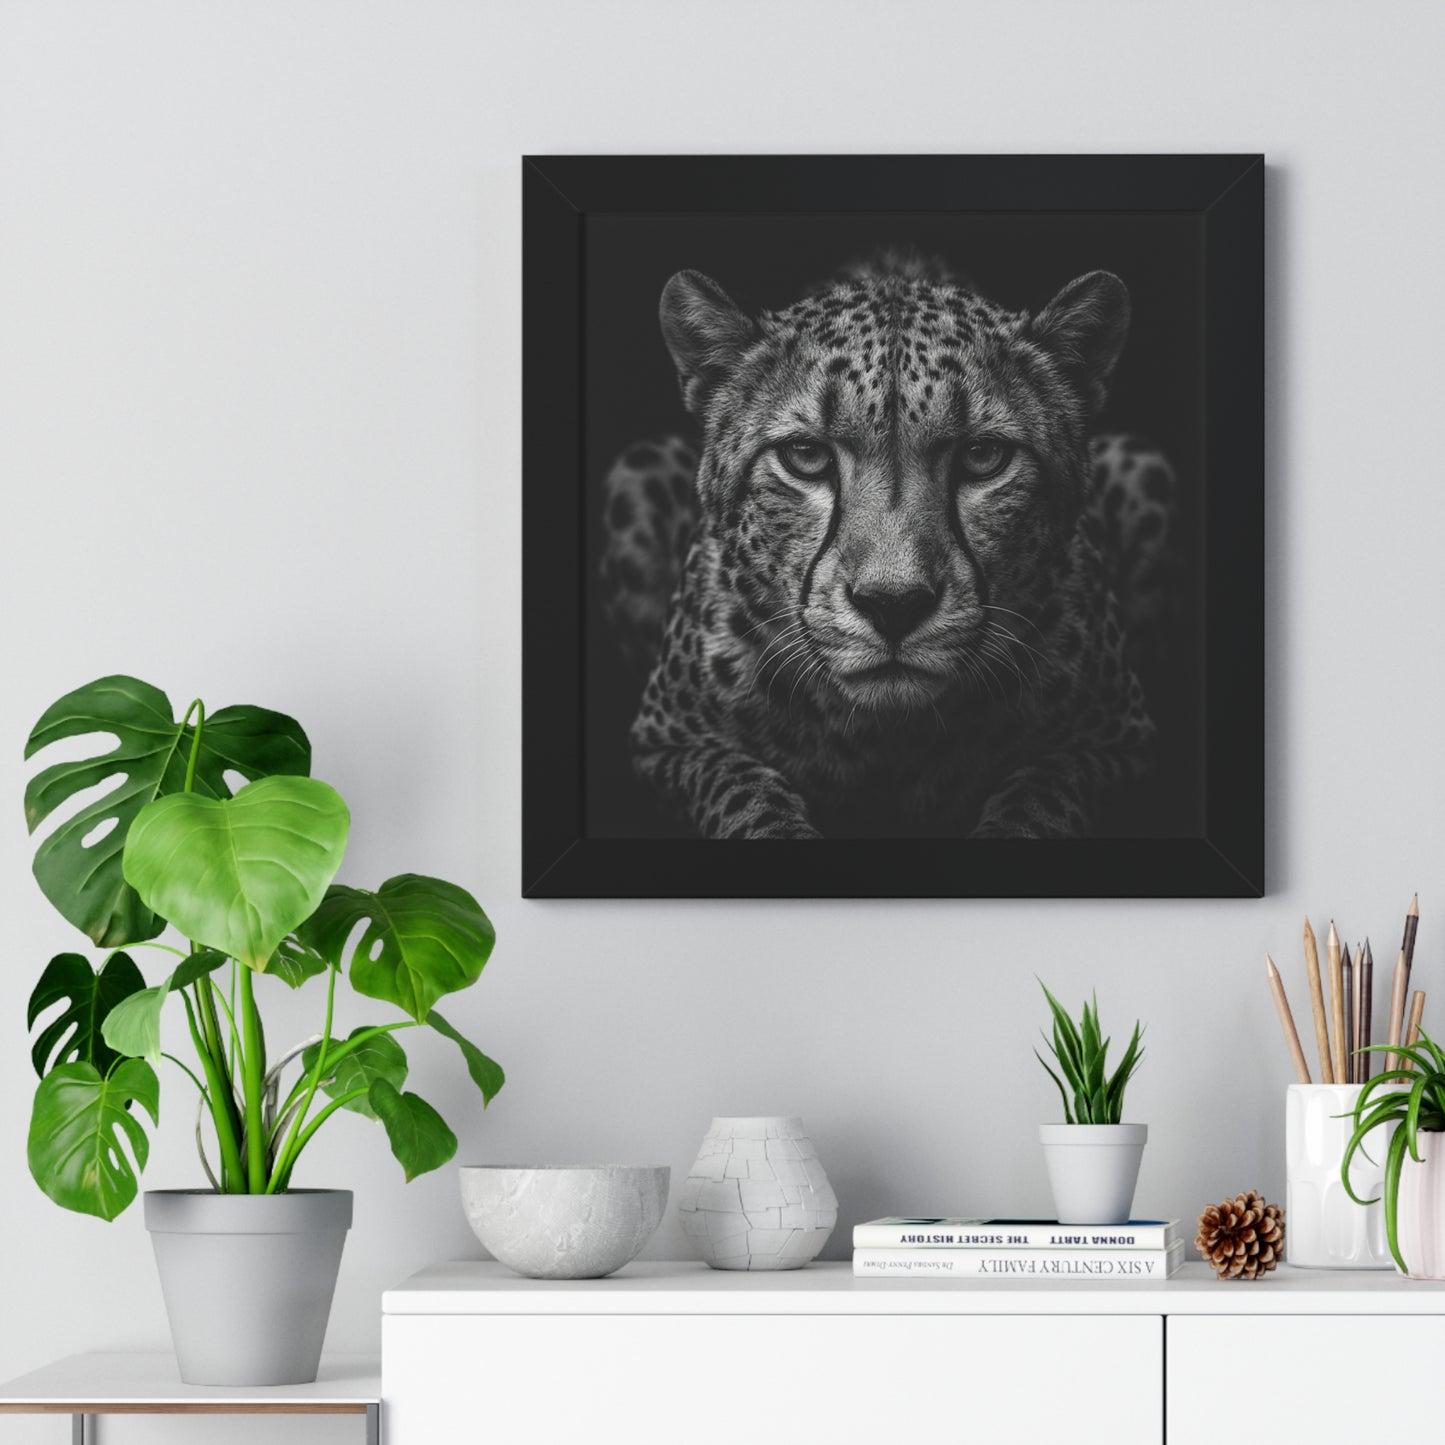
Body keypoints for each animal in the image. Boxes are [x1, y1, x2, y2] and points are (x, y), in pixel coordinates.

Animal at [598, 255, 1180, 840]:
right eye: (806, 455)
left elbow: (1038, 799)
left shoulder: (1118, 742)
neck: (887, 735)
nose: (893, 605)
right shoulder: (667, 744)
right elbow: (747, 797)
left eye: (983, 455)